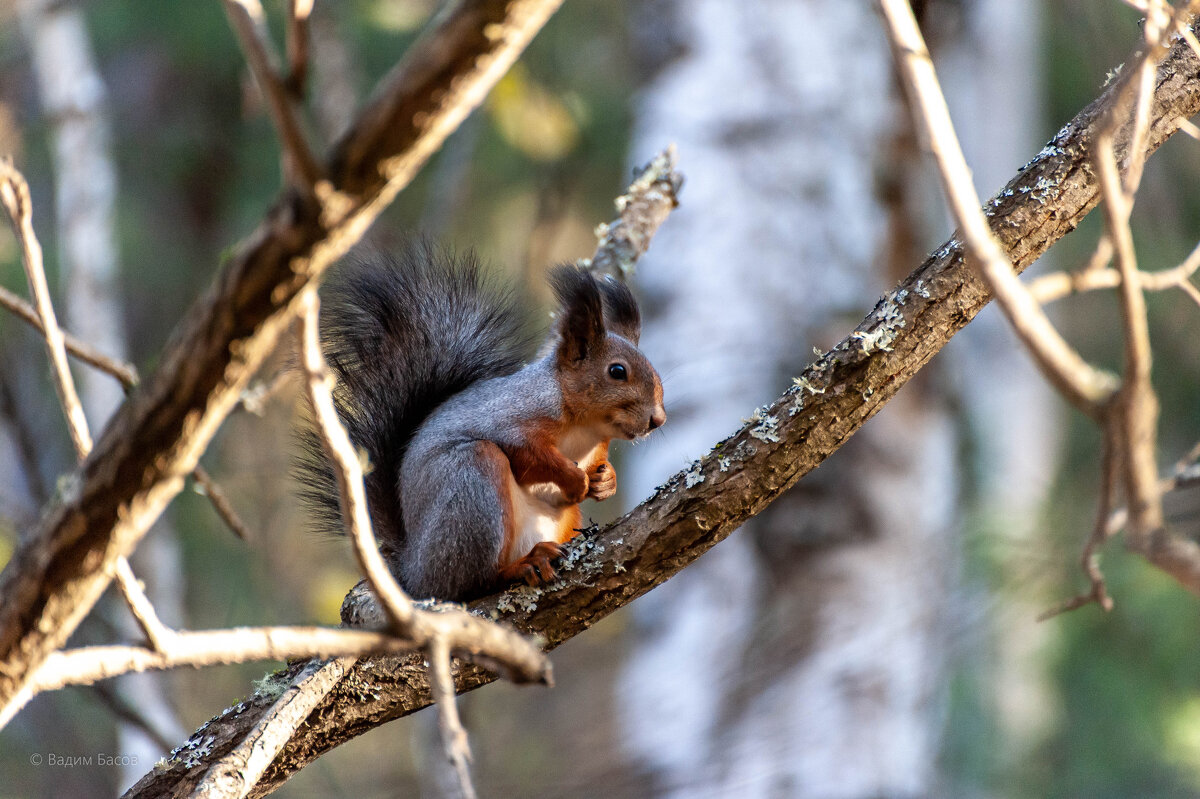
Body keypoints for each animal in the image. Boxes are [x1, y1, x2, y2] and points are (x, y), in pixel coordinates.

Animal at [292, 239, 667, 599]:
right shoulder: (512, 416)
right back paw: (523, 564)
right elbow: (530, 456)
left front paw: (606, 481)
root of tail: (414, 572)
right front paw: (575, 479)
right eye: (617, 371)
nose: (658, 419)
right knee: (473, 582)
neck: (584, 428)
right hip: (472, 485)